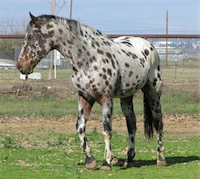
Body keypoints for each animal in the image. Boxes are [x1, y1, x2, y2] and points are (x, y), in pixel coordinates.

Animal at [16, 12, 166, 171]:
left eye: (30, 37)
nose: (21, 66)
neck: (89, 59)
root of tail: (149, 46)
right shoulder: (84, 97)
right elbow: (80, 127)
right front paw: (90, 160)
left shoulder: (106, 99)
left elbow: (106, 129)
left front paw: (106, 162)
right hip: (126, 96)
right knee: (131, 123)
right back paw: (129, 159)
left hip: (153, 92)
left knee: (158, 122)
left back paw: (161, 159)